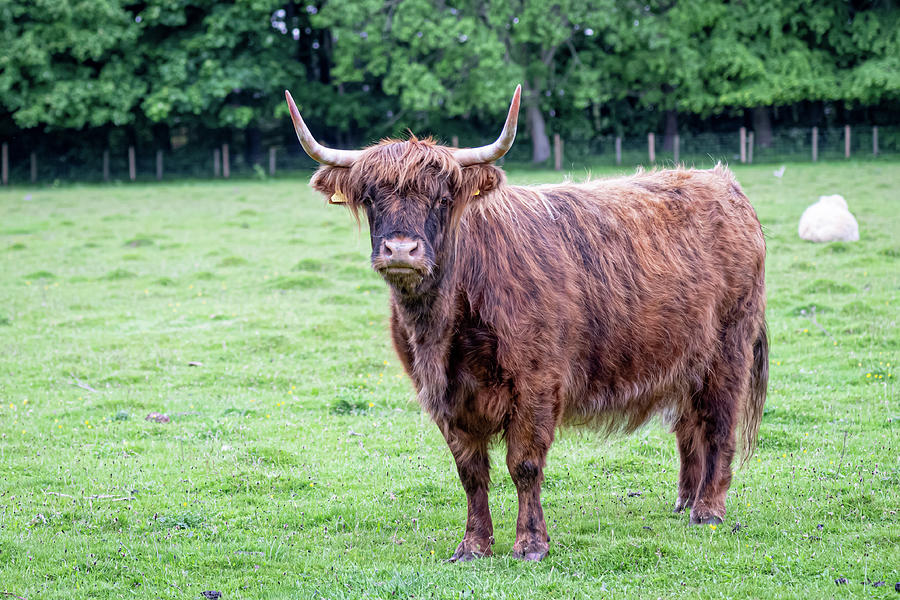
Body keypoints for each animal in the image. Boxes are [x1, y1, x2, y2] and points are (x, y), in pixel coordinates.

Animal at [286, 85, 768, 564]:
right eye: (370, 198)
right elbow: (470, 472)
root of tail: (722, 183)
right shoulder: (445, 396)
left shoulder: (536, 382)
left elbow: (524, 464)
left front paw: (531, 543)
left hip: (729, 349)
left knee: (719, 424)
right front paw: (473, 545)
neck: (442, 325)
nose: (401, 250)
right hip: (685, 360)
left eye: (443, 199)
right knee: (690, 425)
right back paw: (685, 500)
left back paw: (708, 510)